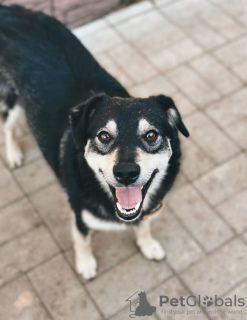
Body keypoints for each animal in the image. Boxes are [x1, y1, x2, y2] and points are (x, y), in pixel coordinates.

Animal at [0, 5, 189, 280]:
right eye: (104, 136)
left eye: (151, 135)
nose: (126, 173)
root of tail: (9, 10)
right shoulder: (79, 212)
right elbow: (82, 238)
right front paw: (86, 263)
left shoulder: (142, 211)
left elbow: (143, 225)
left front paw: (148, 245)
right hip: (11, 100)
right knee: (7, 125)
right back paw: (13, 153)